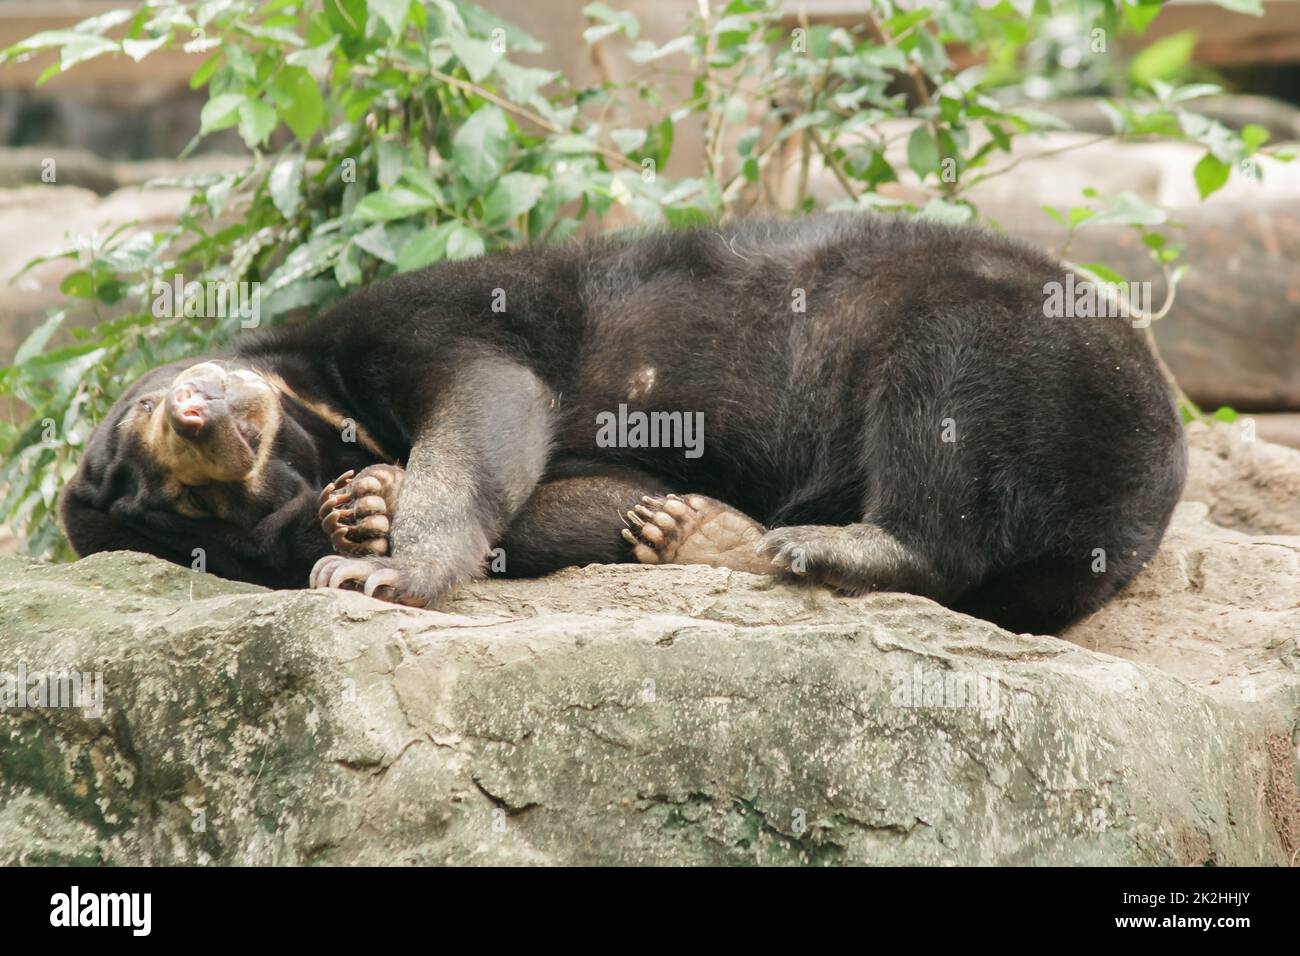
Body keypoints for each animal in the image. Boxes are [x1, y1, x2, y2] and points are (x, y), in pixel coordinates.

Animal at [58, 217, 1190, 634]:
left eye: (146, 406)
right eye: (187, 496)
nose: (195, 414)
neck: (330, 404)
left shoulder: (438, 314)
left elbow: (489, 400)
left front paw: (379, 559)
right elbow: (587, 496)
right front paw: (360, 512)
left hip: (1012, 335)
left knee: (942, 415)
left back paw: (833, 542)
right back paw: (711, 533)